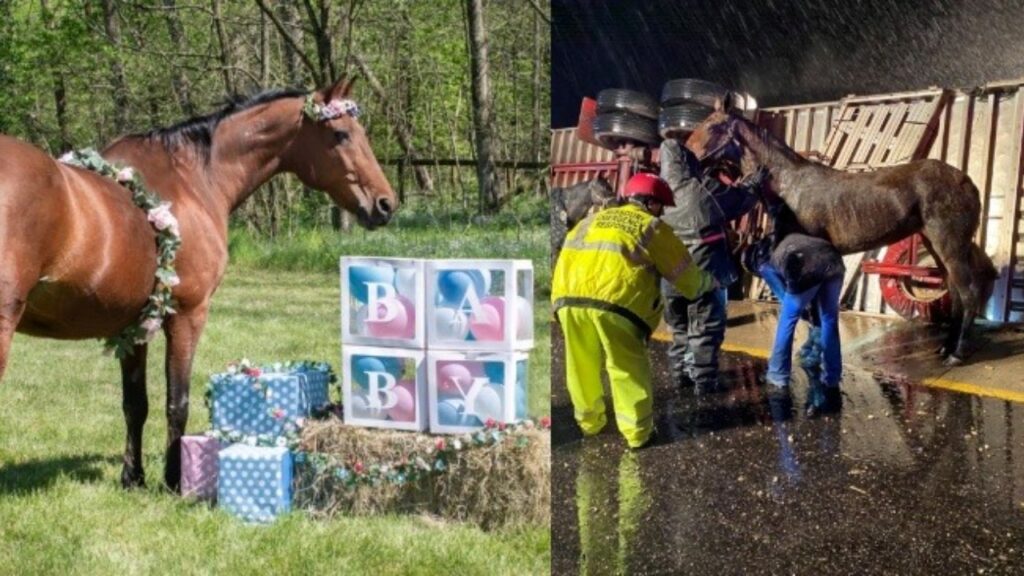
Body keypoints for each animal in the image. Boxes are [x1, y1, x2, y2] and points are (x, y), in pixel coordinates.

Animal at [0, 77, 395, 487]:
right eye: (340, 134)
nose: (385, 204)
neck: (193, 182)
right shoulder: (188, 315)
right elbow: (177, 402)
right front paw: (175, 479)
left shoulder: (135, 325)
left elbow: (135, 404)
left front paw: (133, 477)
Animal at [684, 109, 995, 364]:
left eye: (712, 126)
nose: (686, 155)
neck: (791, 186)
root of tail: (967, 182)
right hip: (937, 245)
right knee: (955, 292)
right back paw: (945, 348)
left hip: (949, 245)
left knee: (968, 292)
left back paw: (957, 353)